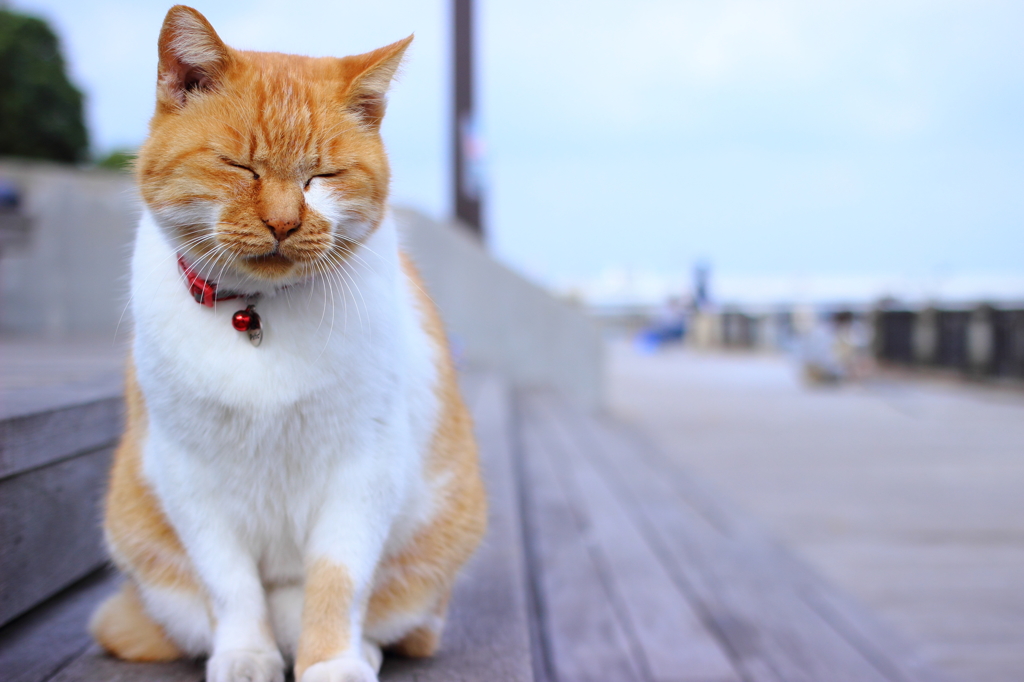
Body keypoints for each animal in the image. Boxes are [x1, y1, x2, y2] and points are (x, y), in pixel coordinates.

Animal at [88, 6, 487, 679]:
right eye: (239, 166)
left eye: (321, 176)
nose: (283, 222)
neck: (256, 313)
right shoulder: (188, 475)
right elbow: (230, 584)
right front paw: (245, 654)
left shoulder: (363, 465)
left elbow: (337, 582)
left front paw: (332, 663)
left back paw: (360, 650)